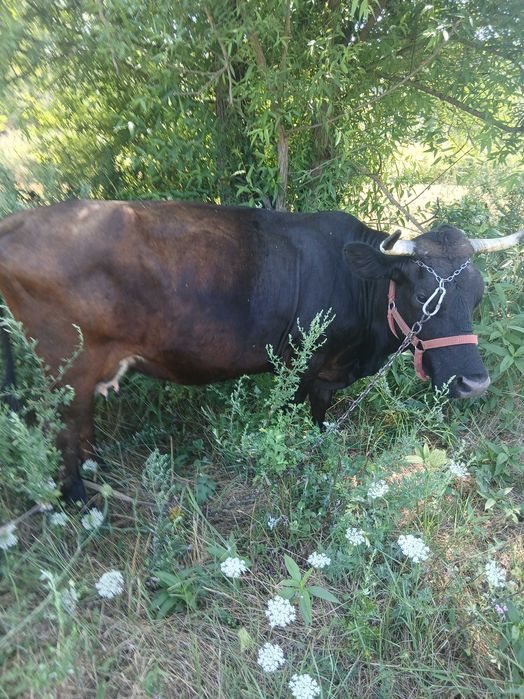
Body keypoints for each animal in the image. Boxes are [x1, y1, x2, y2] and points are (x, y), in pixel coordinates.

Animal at [0, 199, 522, 501]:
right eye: (422, 296)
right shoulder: (299, 364)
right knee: (64, 427)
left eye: (476, 294)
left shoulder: (327, 372)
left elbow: (320, 415)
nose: (475, 383)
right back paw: (79, 497)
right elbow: (290, 417)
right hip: (65, 367)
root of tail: (18, 222)